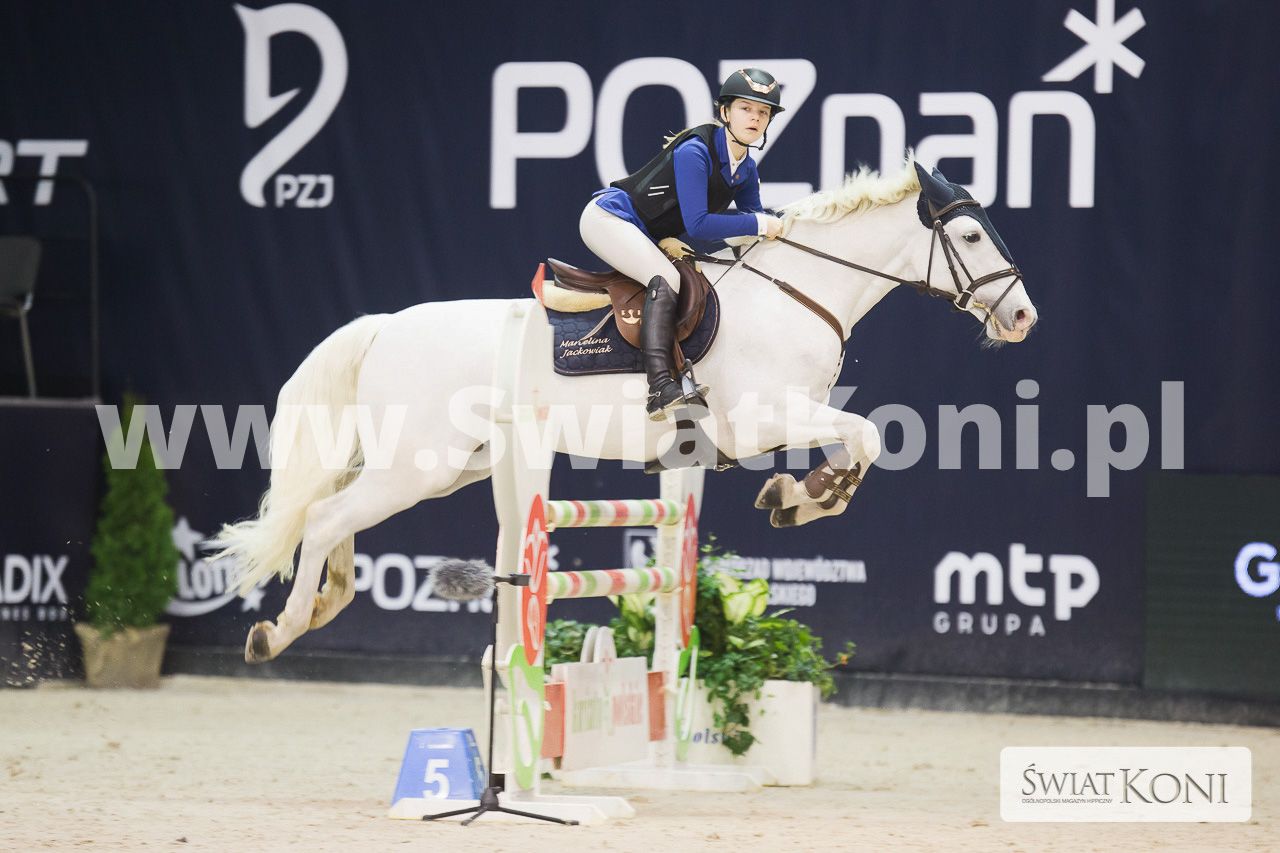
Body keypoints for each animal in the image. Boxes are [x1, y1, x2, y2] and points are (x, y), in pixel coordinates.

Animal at [209, 159, 1038, 663]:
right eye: (970, 233)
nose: (1024, 316)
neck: (796, 292)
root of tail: (383, 325)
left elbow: (859, 444)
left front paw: (798, 497)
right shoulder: (761, 419)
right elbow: (862, 436)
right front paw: (798, 496)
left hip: (437, 467)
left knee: (334, 513)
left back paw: (324, 602)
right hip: (418, 467)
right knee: (323, 518)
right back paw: (280, 630)